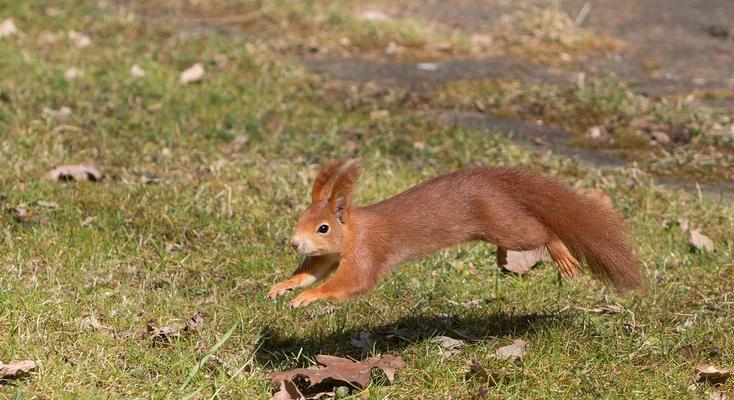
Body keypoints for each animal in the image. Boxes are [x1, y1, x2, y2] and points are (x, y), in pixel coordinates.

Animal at [268, 158, 644, 308]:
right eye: (301, 219)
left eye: (323, 227)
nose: (295, 243)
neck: (354, 230)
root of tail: (492, 182)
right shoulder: (329, 255)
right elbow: (313, 271)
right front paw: (285, 286)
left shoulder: (365, 251)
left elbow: (352, 282)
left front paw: (309, 297)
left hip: (504, 222)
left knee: (540, 232)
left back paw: (559, 252)